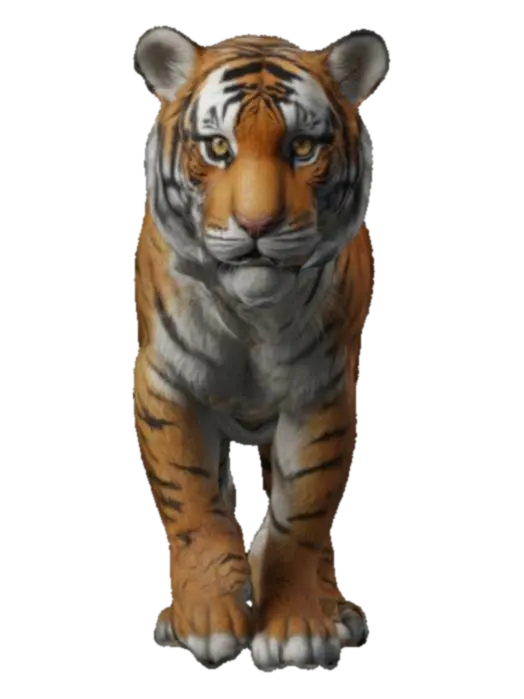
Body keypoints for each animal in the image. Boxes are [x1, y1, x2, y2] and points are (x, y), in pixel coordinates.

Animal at [131, 28, 385, 667]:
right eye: (218, 147)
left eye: (303, 147)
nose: (256, 227)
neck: (251, 318)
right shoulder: (165, 383)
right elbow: (192, 503)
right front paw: (205, 619)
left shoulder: (321, 397)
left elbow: (301, 522)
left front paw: (296, 628)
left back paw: (337, 612)